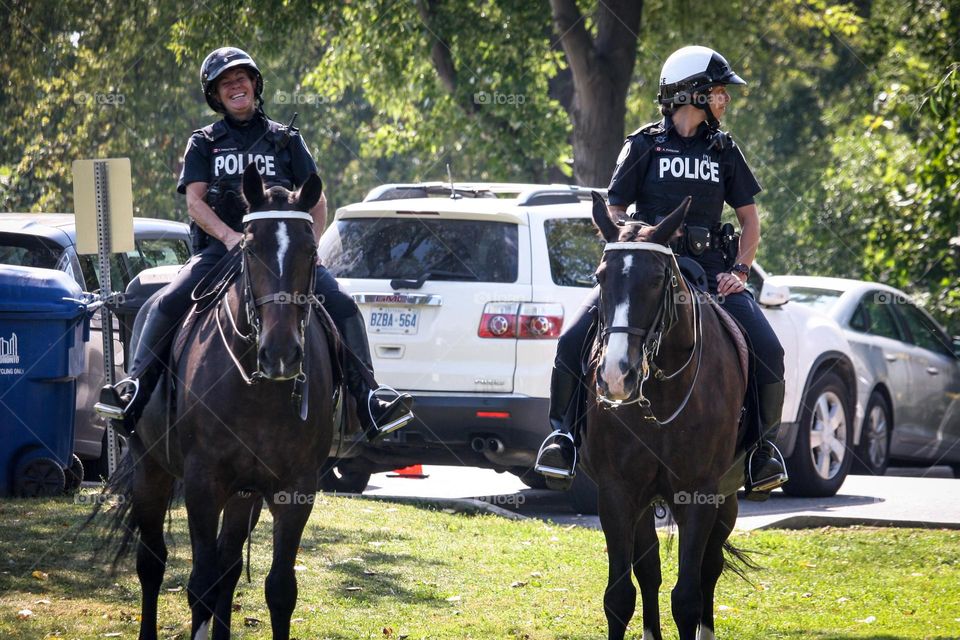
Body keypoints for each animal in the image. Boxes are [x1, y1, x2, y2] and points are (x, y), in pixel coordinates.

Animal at [100, 166, 334, 640]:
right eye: (249, 247)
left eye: (310, 250)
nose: (281, 354)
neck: (259, 388)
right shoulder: (203, 483)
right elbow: (200, 584)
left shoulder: (296, 488)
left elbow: (279, 589)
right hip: (151, 469)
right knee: (152, 562)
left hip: (243, 493)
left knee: (228, 566)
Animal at [584, 192, 752, 640]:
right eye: (600, 277)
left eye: (656, 280)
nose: (616, 376)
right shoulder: (617, 492)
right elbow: (620, 595)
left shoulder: (699, 493)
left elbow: (688, 597)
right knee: (651, 571)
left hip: (727, 496)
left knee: (709, 568)